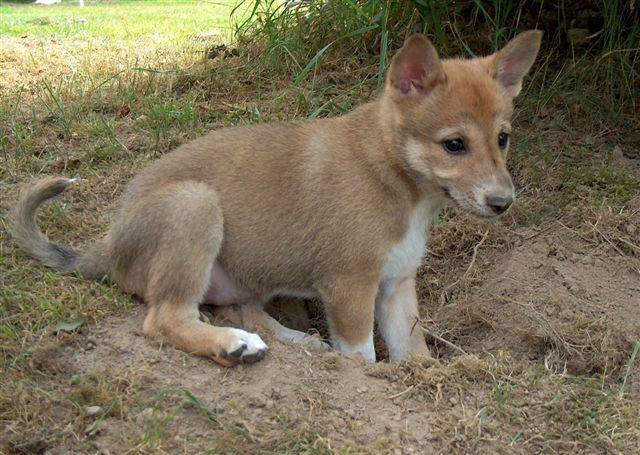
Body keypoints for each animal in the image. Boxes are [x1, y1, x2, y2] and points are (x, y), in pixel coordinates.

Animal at [8, 31, 540, 366]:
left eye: (503, 139)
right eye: (454, 145)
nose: (503, 202)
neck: (396, 180)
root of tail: (108, 243)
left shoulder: (396, 286)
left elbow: (414, 352)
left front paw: (427, 376)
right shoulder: (349, 285)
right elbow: (363, 356)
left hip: (244, 271)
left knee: (238, 308)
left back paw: (290, 340)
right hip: (195, 206)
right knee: (164, 318)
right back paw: (232, 345)